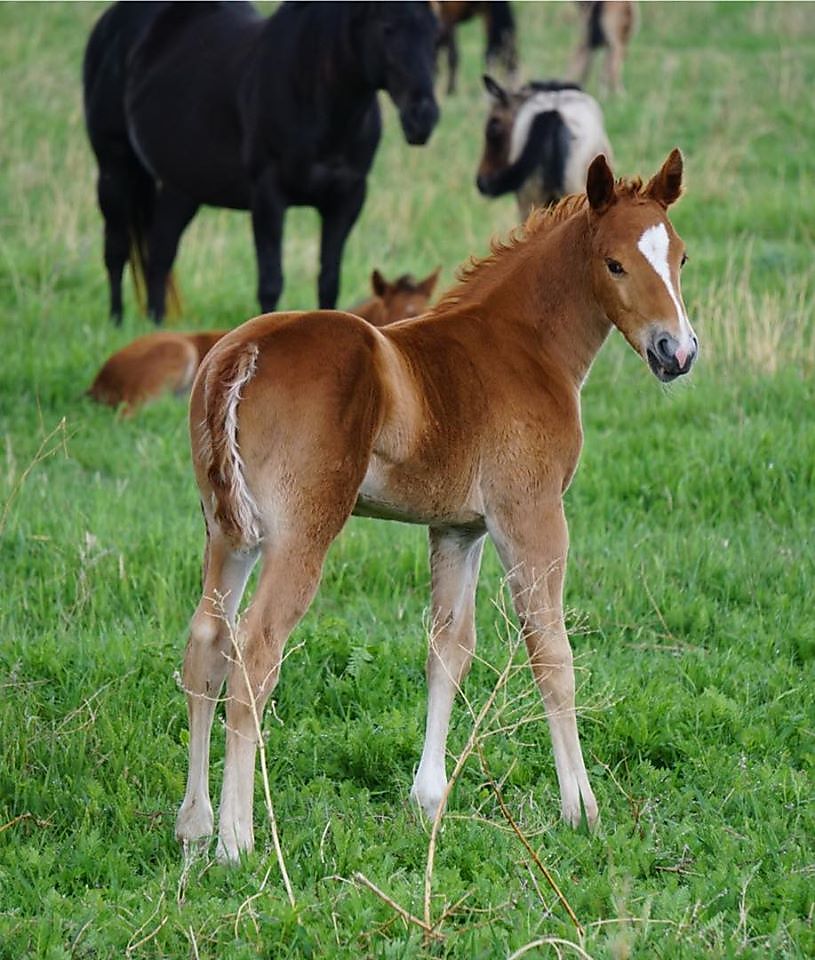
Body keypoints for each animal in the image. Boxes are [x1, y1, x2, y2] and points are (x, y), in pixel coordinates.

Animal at [83, 2, 439, 325]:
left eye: (435, 33)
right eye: (388, 28)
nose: (423, 118)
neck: (314, 94)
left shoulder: (346, 200)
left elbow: (329, 281)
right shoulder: (269, 196)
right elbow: (271, 282)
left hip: (182, 188)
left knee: (159, 254)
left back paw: (155, 325)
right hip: (113, 168)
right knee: (116, 249)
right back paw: (117, 322)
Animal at [175, 149, 698, 863]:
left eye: (680, 258)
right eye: (615, 263)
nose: (678, 352)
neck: (523, 344)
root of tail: (243, 353)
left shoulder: (457, 529)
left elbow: (448, 648)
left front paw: (428, 801)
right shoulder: (531, 518)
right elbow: (551, 654)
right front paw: (581, 810)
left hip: (229, 533)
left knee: (206, 642)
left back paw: (195, 824)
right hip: (299, 535)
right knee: (254, 654)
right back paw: (236, 837)